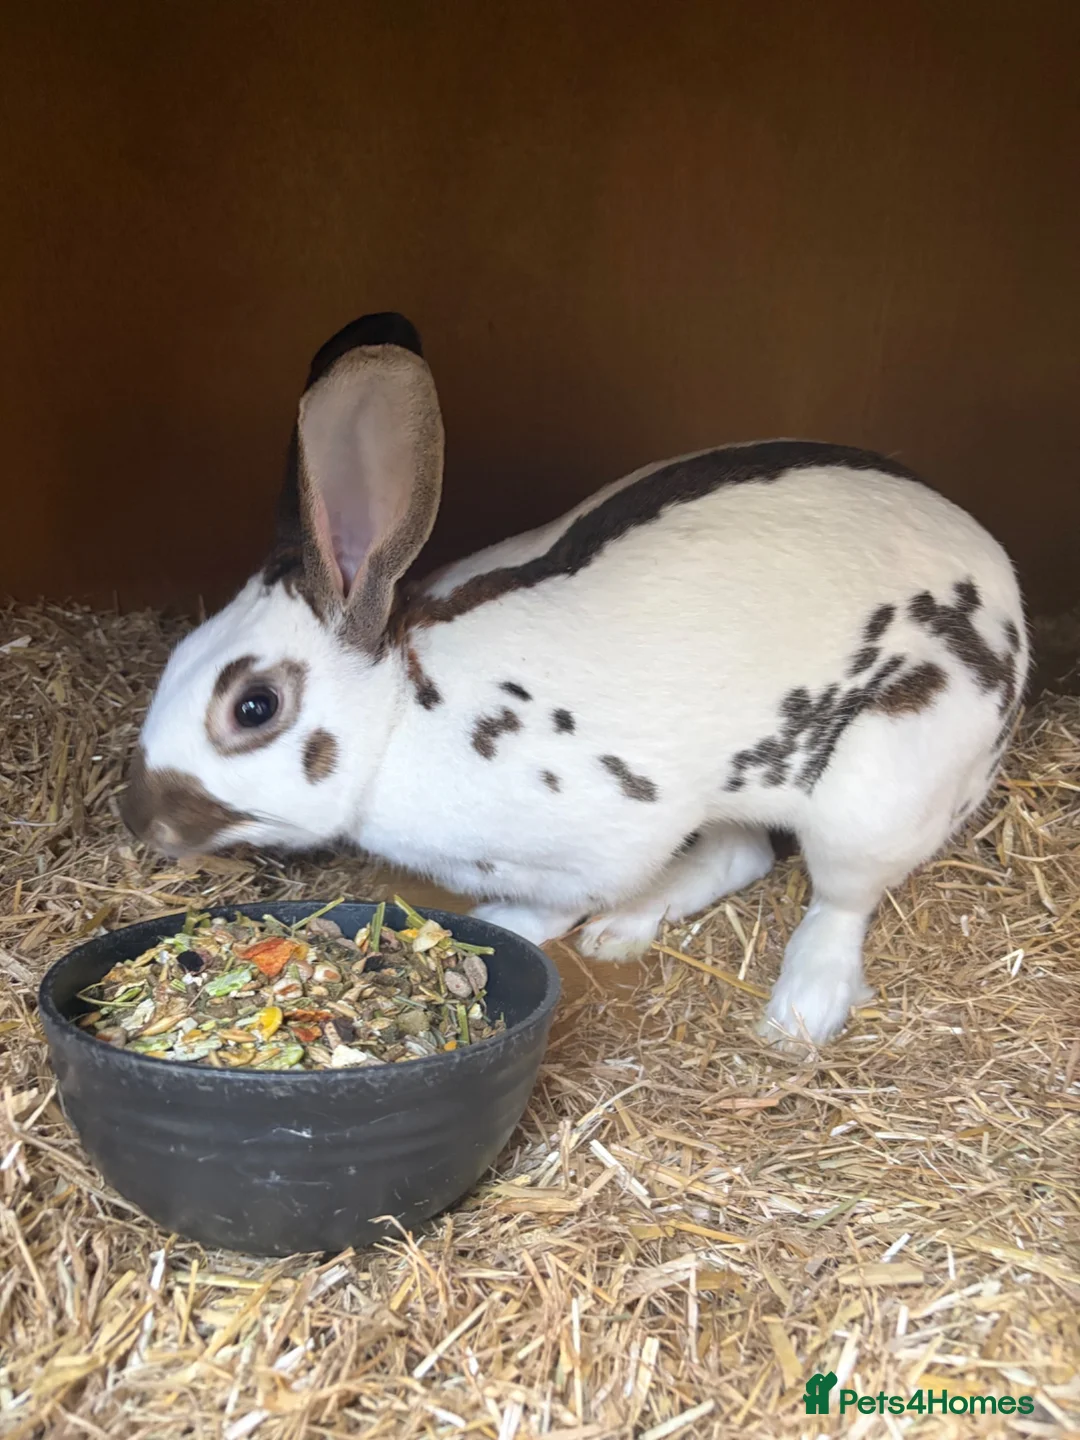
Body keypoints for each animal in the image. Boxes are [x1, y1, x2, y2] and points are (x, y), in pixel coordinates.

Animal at [120, 311, 1029, 1048]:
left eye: (254, 706)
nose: (140, 819)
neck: (400, 714)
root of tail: (1004, 587)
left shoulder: (598, 843)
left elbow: (553, 905)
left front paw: (499, 924)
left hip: (876, 789)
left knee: (841, 901)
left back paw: (799, 1014)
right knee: (740, 855)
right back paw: (625, 932)